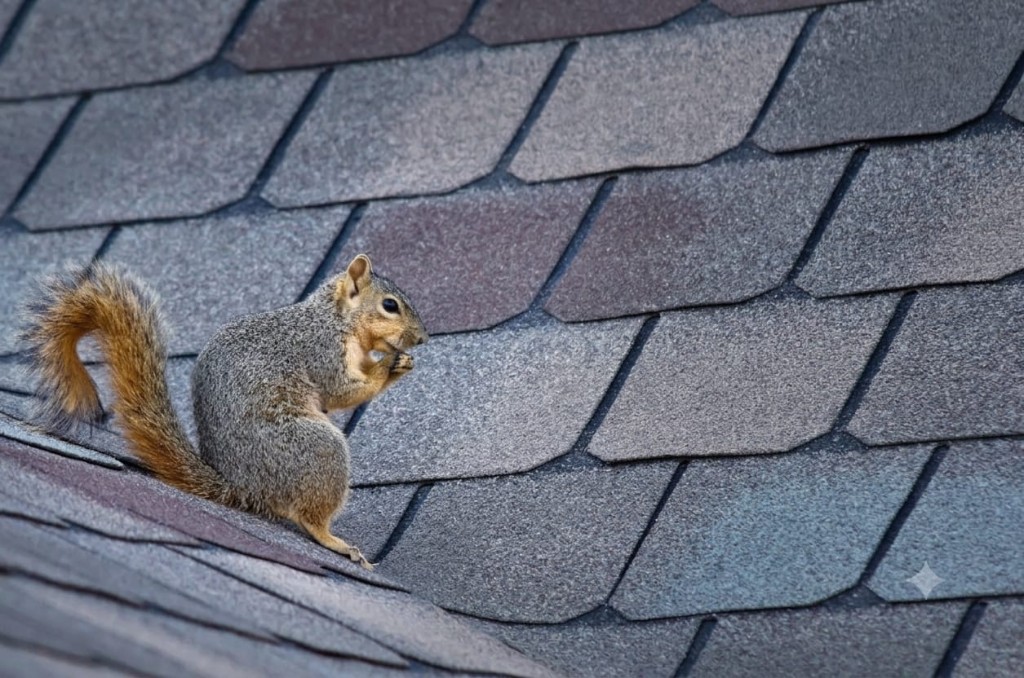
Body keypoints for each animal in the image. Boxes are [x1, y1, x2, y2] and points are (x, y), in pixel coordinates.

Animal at [21, 254, 427, 570]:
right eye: (390, 305)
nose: (422, 338)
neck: (335, 319)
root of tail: (243, 488)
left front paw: (399, 362)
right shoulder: (320, 351)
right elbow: (341, 390)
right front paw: (388, 366)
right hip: (315, 448)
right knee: (309, 517)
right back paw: (333, 540)